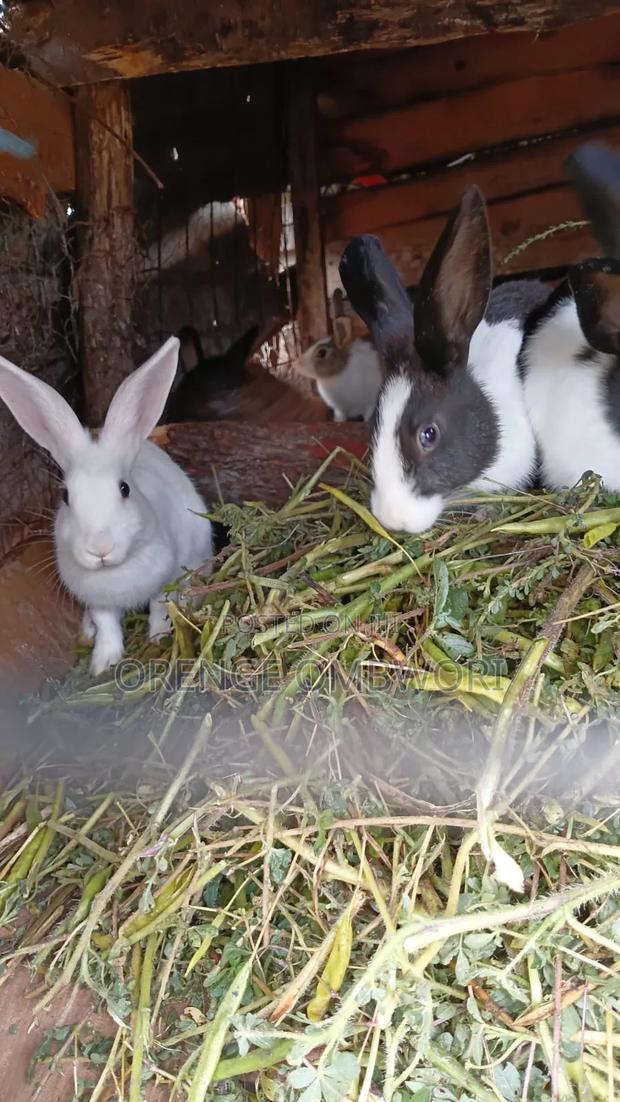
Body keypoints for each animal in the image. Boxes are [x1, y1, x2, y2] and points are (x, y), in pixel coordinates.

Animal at [0, 337, 213, 675]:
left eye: (124, 489)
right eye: (66, 497)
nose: (99, 549)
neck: (114, 572)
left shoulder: (164, 582)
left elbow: (159, 609)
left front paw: (159, 639)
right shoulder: (98, 600)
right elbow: (107, 626)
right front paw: (103, 664)